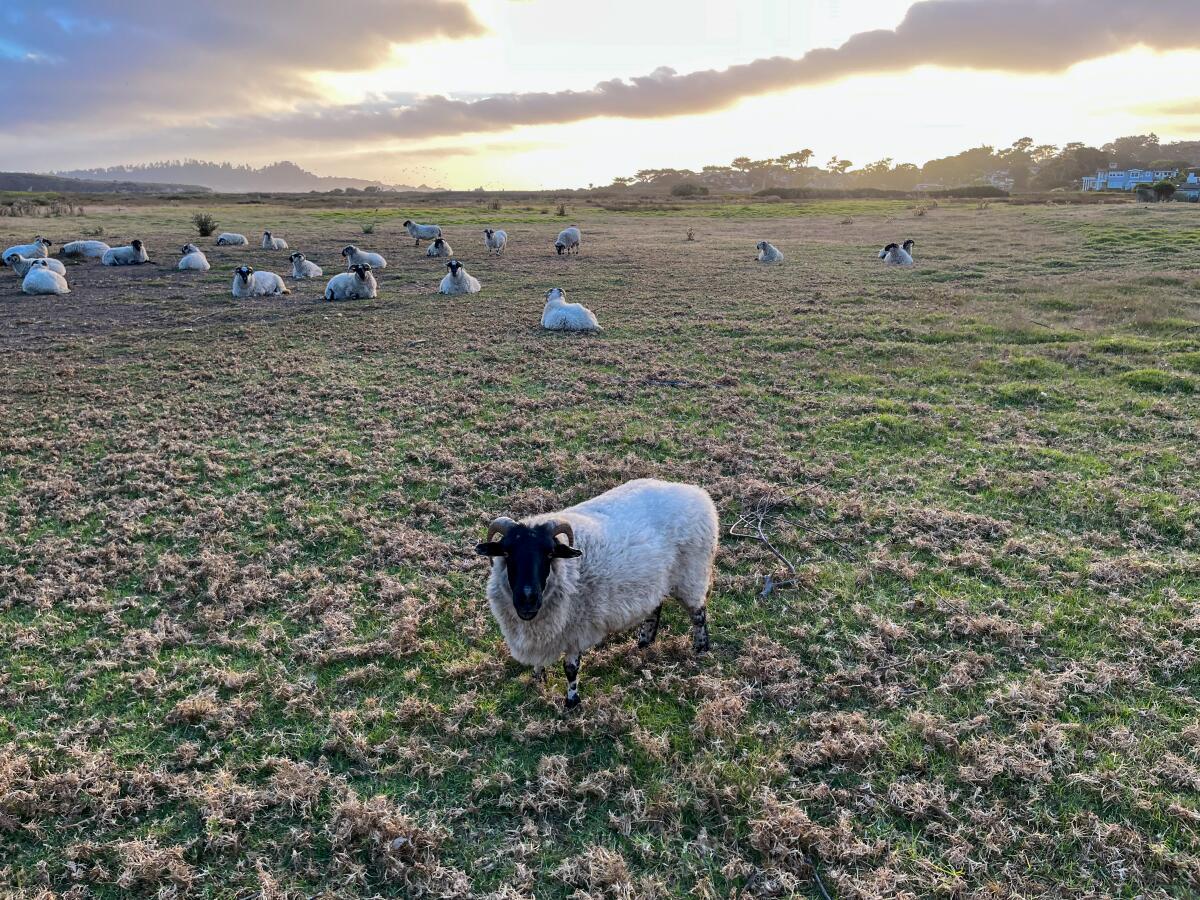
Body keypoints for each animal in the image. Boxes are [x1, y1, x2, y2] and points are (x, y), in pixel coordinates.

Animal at [475, 480, 720, 710]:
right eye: (506, 553)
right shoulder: (539, 633)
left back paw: (701, 649)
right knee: (655, 608)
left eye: (550, 554)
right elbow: (539, 661)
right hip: (655, 581)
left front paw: (572, 702)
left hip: (692, 575)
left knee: (698, 613)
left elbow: (571, 669)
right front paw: (538, 680)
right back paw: (644, 643)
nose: (528, 600)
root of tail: (696, 492)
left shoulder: (576, 629)